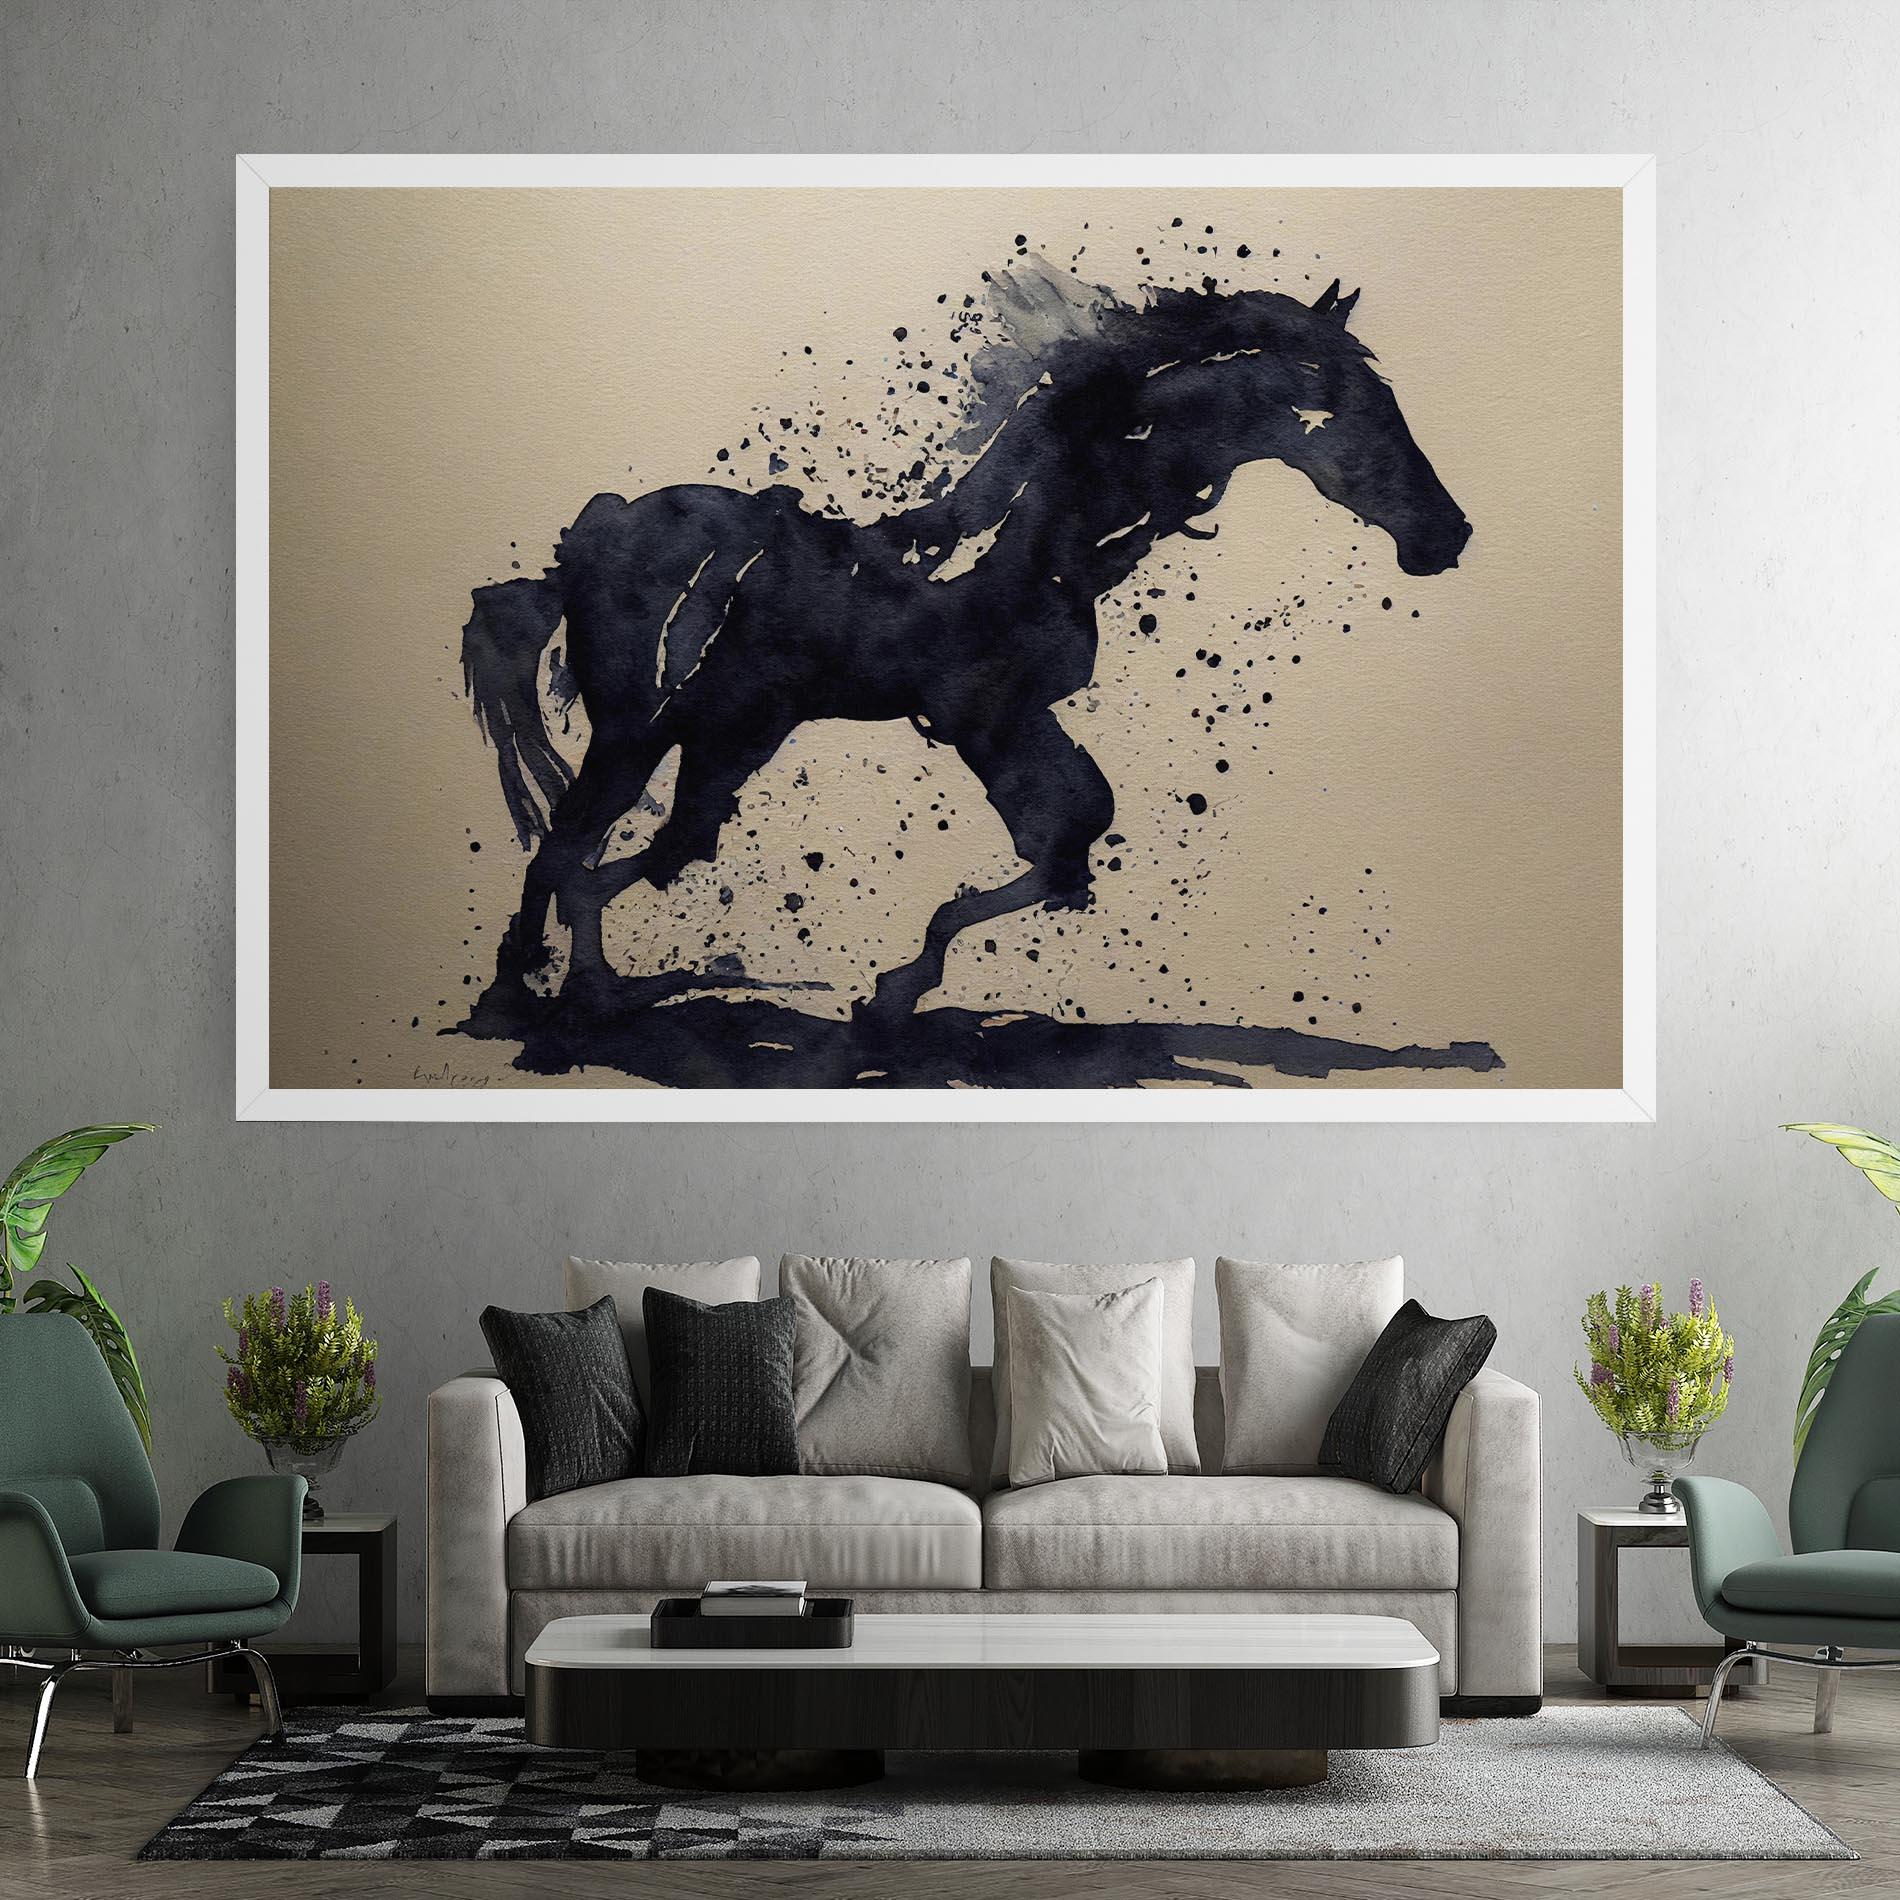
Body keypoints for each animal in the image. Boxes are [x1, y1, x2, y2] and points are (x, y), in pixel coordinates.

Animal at [459, 259, 1471, 1032]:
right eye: (1362, 413)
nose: (1448, 536)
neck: (1046, 534)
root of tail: (589, 541)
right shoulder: (980, 719)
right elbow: (1057, 840)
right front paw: (892, 990)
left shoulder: (1022, 719)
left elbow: (1072, 840)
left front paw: (898, 987)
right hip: (653, 730)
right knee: (580, 847)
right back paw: (540, 992)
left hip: (709, 732)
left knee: (618, 844)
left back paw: (587, 986)